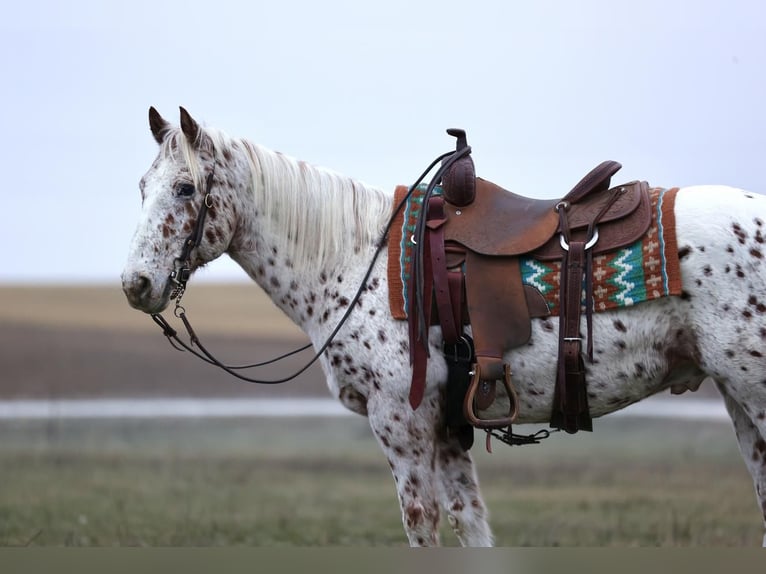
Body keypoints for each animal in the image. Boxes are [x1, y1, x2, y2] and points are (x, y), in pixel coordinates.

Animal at [121, 107, 766, 548]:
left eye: (185, 188)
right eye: (142, 187)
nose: (135, 284)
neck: (354, 258)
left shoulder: (400, 423)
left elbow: (422, 526)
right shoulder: (450, 429)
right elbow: (471, 526)